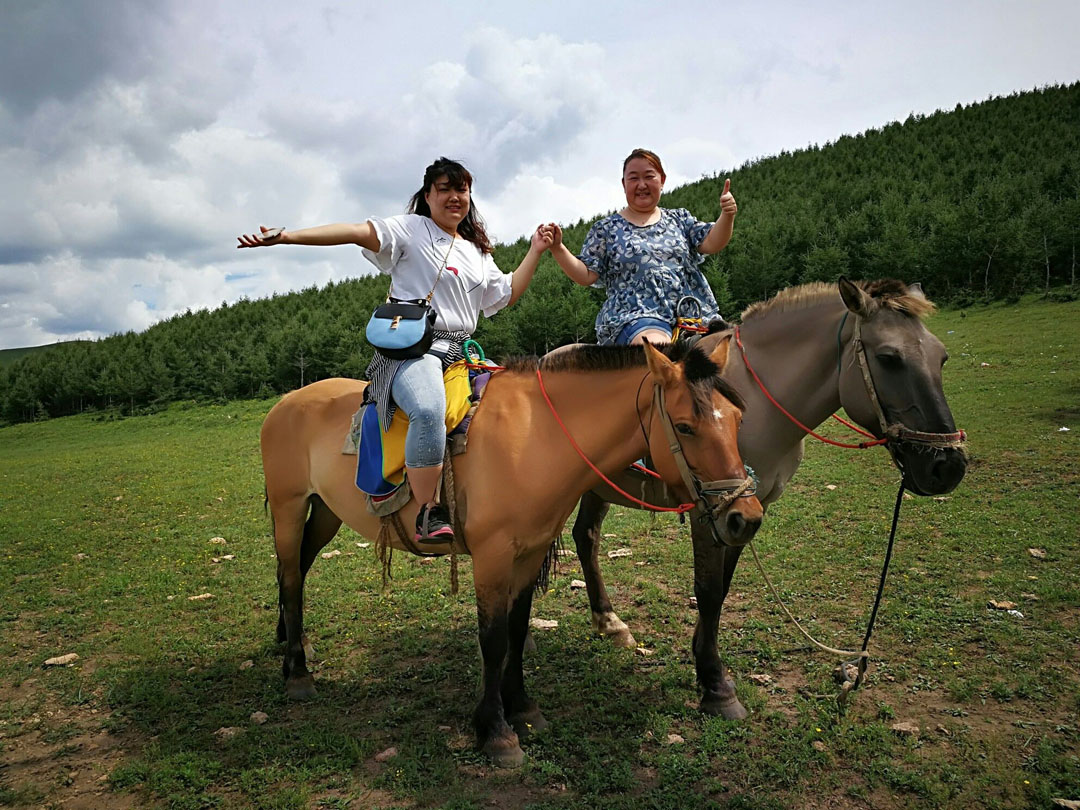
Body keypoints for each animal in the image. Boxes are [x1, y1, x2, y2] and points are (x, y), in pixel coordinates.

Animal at [261, 336, 764, 768]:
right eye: (685, 426)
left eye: (739, 419)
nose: (746, 516)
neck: (537, 436)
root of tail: (286, 403)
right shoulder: (493, 556)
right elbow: (494, 638)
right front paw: (496, 732)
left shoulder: (530, 551)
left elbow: (518, 631)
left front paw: (522, 707)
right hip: (290, 508)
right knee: (290, 576)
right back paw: (298, 672)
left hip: (326, 511)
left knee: (299, 569)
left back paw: (292, 640)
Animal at [570, 278, 967, 717]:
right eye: (889, 358)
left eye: (942, 357)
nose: (948, 466)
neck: (754, 406)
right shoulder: (711, 510)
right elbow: (708, 591)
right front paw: (716, 686)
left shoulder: (748, 513)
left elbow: (722, 588)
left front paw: (702, 658)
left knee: (586, 536)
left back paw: (610, 623)